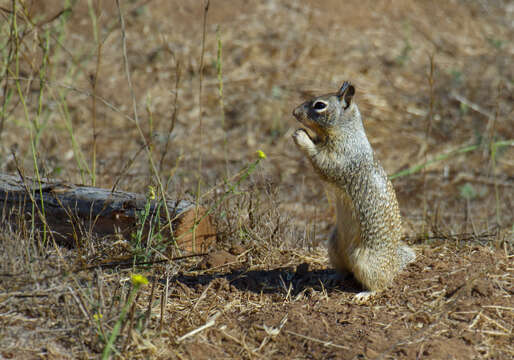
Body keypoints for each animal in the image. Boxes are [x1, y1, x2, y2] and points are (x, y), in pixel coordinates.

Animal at [290, 82, 414, 304]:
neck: (345, 132)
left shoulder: (343, 158)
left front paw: (301, 136)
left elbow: (323, 163)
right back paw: (332, 276)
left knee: (381, 282)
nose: (294, 112)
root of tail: (394, 262)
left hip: (366, 260)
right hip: (334, 246)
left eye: (319, 105)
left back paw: (366, 293)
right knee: (345, 271)